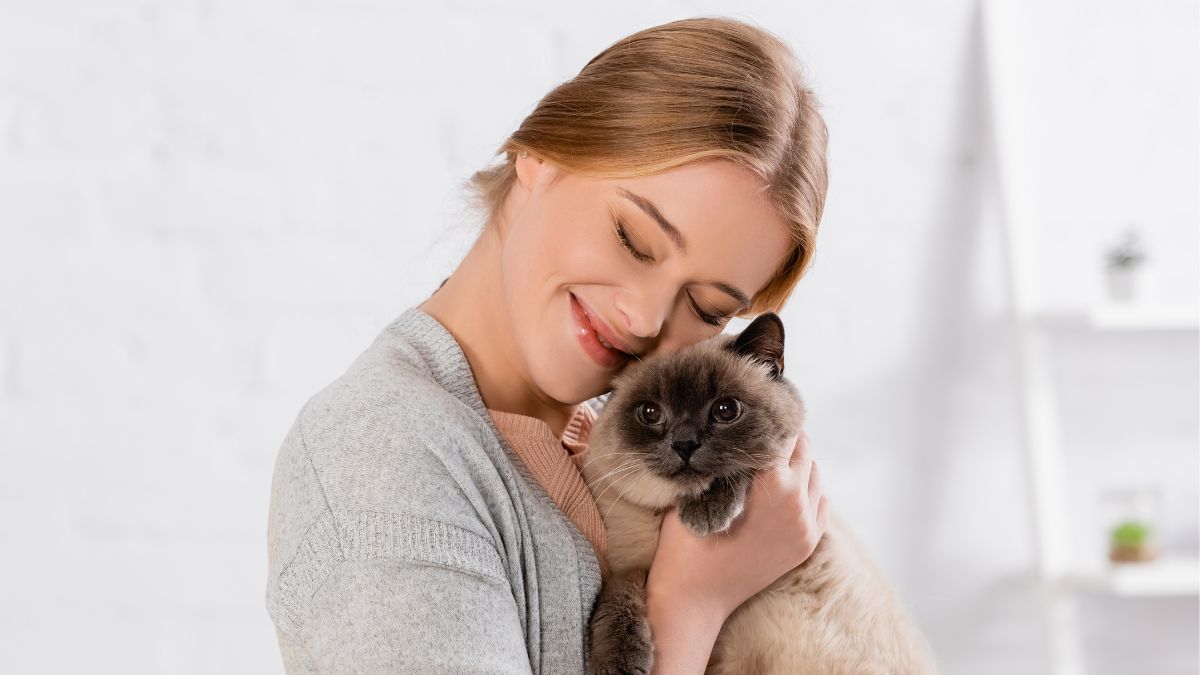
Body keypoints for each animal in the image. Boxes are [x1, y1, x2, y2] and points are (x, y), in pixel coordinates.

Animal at [580, 312, 936, 672]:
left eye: (725, 410)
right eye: (650, 413)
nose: (684, 445)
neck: (664, 515)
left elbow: (743, 466)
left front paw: (707, 513)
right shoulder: (630, 568)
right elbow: (616, 598)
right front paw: (618, 664)